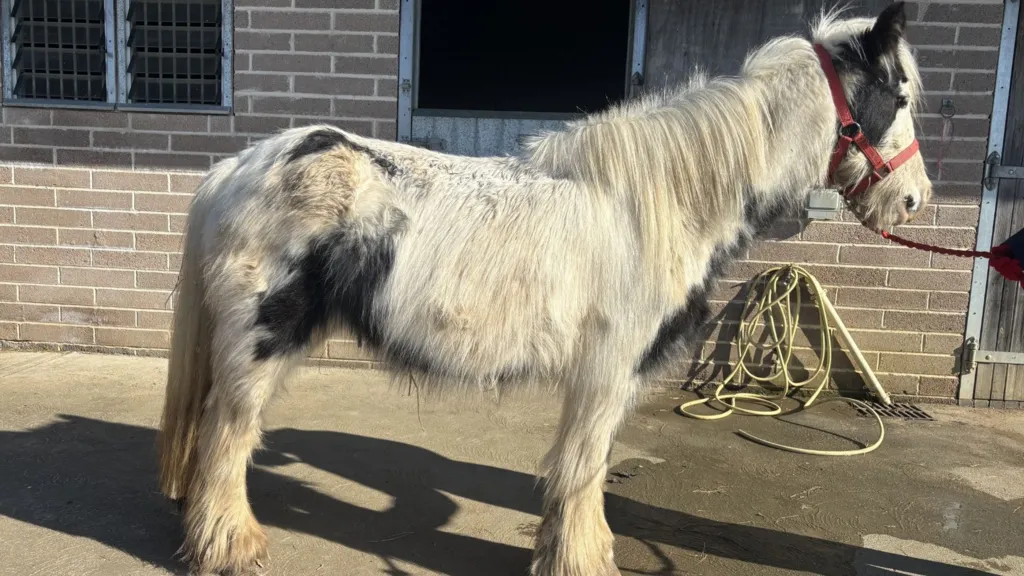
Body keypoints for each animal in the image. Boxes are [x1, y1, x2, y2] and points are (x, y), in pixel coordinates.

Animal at [156, 3, 931, 574]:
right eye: (898, 96)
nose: (915, 200)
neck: (658, 203)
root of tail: (234, 168)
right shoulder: (608, 370)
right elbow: (583, 470)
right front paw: (582, 560)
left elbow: (580, 470)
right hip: (261, 340)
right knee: (229, 437)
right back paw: (229, 548)